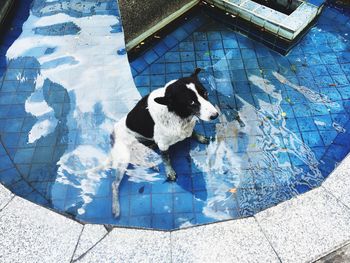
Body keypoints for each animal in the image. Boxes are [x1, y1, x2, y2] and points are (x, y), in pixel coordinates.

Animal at [109, 67, 219, 217]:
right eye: (191, 102)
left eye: (206, 93)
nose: (215, 115)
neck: (176, 113)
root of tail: (112, 134)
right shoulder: (163, 144)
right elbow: (166, 159)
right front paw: (170, 172)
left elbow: (192, 132)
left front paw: (200, 137)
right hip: (123, 158)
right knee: (114, 184)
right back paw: (116, 207)